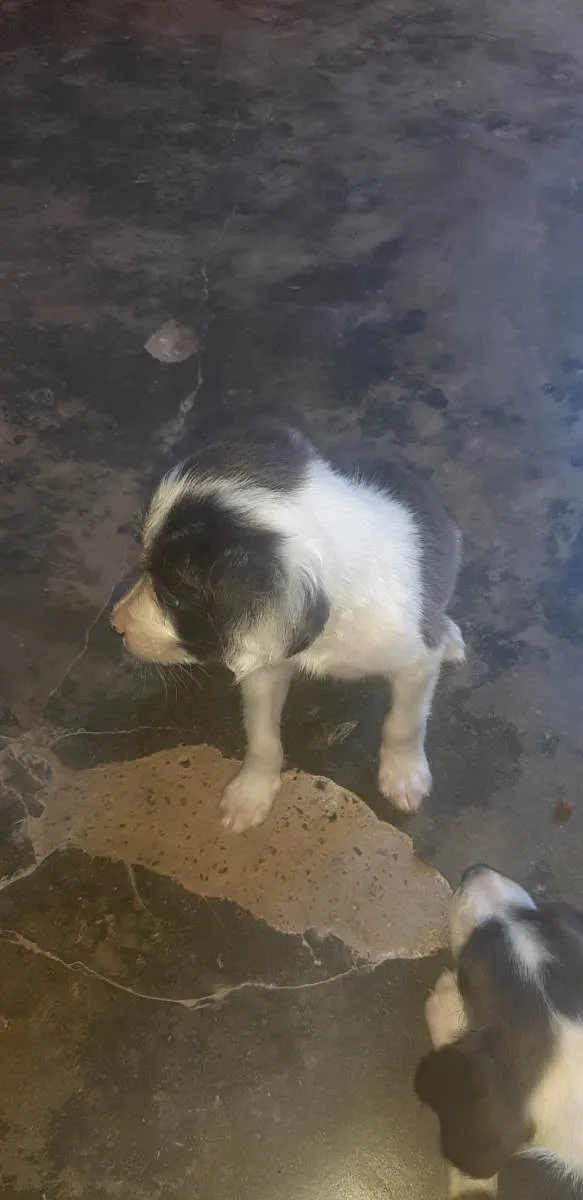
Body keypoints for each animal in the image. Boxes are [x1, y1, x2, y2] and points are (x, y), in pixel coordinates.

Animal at [111, 415, 463, 832]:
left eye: (174, 598)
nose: (115, 625)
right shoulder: (263, 664)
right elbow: (261, 737)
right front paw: (251, 793)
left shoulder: (415, 663)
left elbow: (404, 725)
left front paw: (404, 776)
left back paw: (450, 636)